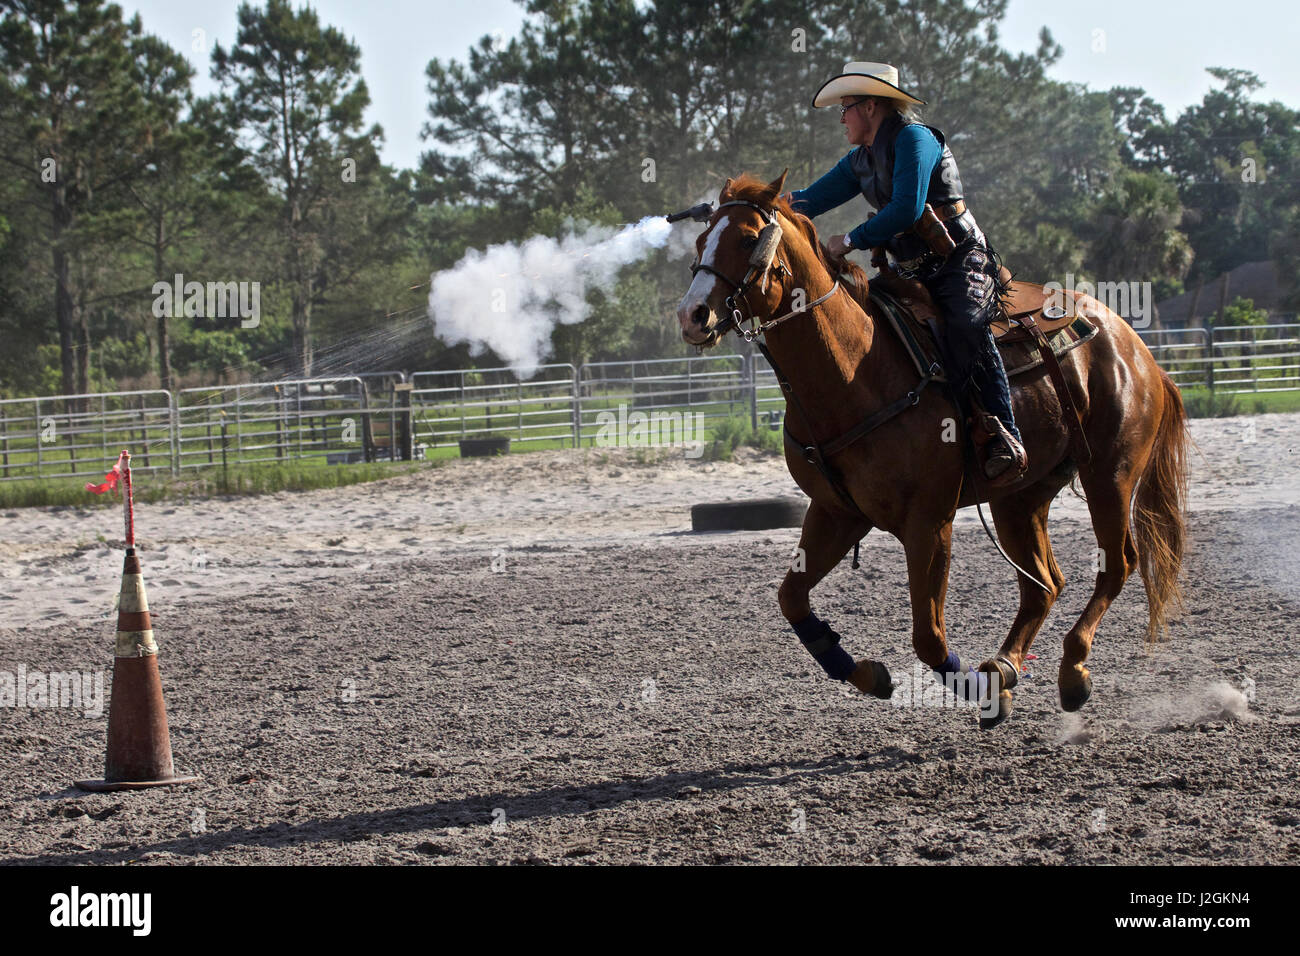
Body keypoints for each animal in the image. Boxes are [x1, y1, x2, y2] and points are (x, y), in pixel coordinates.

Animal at [676, 171, 1190, 728]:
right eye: (702, 241)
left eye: (748, 239)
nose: (693, 315)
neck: (856, 370)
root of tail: (1137, 349)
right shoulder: (837, 512)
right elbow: (791, 599)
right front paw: (869, 674)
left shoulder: (929, 520)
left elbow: (928, 638)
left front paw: (976, 689)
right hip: (1020, 498)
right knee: (1043, 584)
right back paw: (1005, 667)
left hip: (1109, 475)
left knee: (1117, 565)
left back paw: (1071, 672)